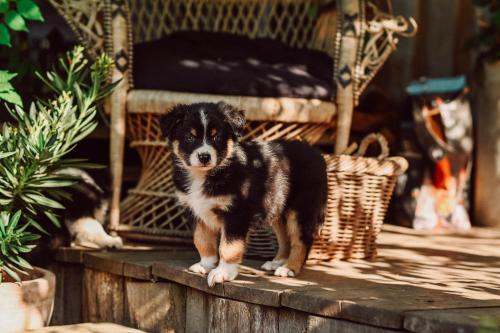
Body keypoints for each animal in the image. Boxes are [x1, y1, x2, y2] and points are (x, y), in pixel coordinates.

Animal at [158, 101, 326, 286]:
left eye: (217, 137)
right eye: (189, 137)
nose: (204, 156)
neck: (204, 175)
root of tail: (315, 152)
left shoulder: (236, 213)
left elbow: (228, 246)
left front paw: (223, 273)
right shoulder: (195, 210)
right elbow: (201, 240)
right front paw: (206, 265)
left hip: (301, 209)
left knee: (301, 240)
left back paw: (289, 268)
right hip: (277, 207)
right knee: (285, 237)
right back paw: (277, 262)